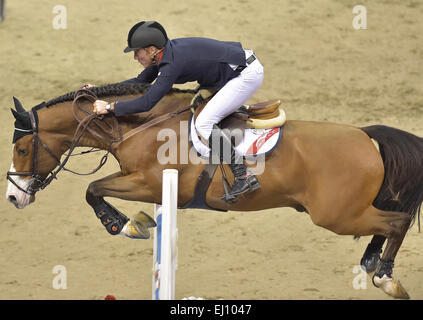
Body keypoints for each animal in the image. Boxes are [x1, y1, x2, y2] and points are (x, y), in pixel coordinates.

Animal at [4, 82, 423, 300]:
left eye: (22, 149)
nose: (13, 197)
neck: (141, 124)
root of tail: (366, 136)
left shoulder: (149, 183)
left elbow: (92, 189)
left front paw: (124, 225)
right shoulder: (144, 184)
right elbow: (96, 189)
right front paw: (133, 223)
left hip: (336, 214)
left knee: (397, 221)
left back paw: (387, 278)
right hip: (345, 212)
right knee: (388, 223)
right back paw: (372, 263)